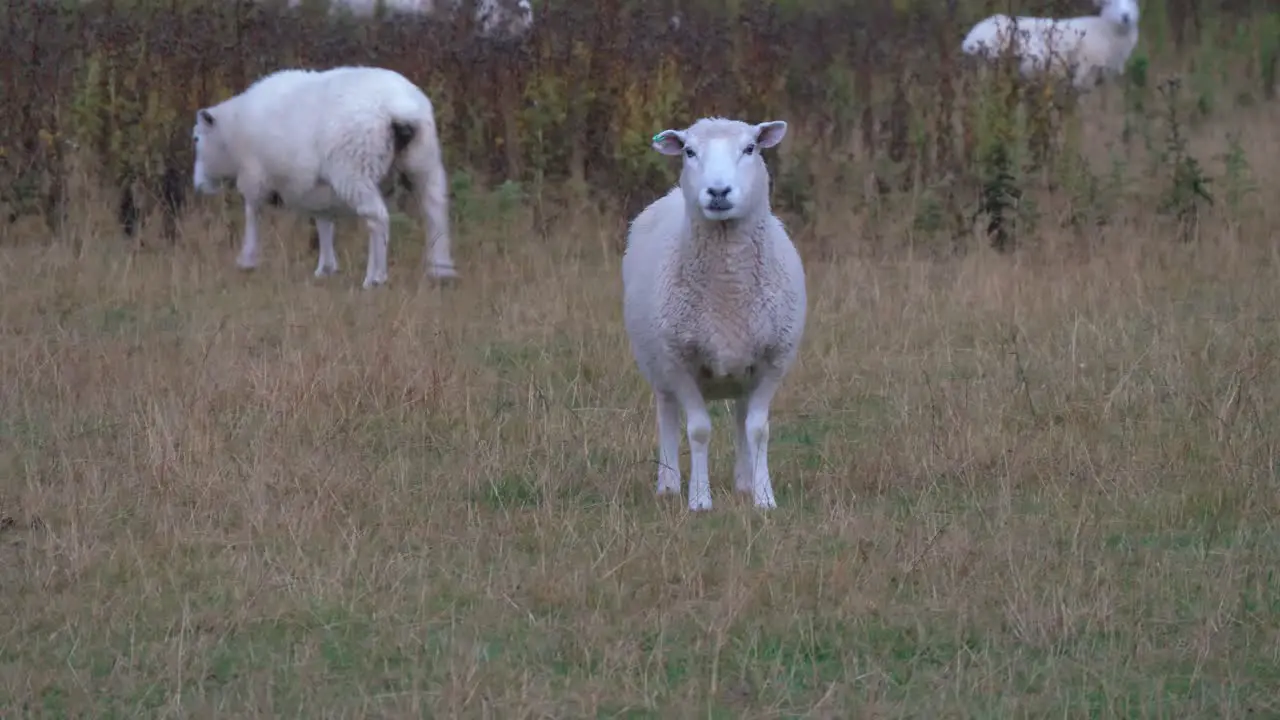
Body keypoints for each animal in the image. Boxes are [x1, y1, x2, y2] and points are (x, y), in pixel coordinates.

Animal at [186, 63, 455, 288]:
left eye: (197, 139)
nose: (198, 185)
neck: (233, 134)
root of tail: (401, 108)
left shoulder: (255, 178)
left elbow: (253, 214)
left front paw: (247, 260)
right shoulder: (316, 188)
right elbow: (323, 220)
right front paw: (325, 268)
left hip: (355, 169)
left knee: (377, 218)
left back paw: (375, 278)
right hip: (424, 160)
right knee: (435, 212)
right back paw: (441, 270)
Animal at [622, 116, 808, 509]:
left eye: (750, 148)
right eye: (690, 152)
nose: (718, 191)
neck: (728, 290)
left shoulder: (773, 360)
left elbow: (758, 429)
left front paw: (764, 498)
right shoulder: (679, 361)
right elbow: (698, 430)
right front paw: (699, 500)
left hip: (743, 370)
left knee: (740, 416)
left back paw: (744, 482)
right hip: (655, 362)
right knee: (667, 415)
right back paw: (668, 484)